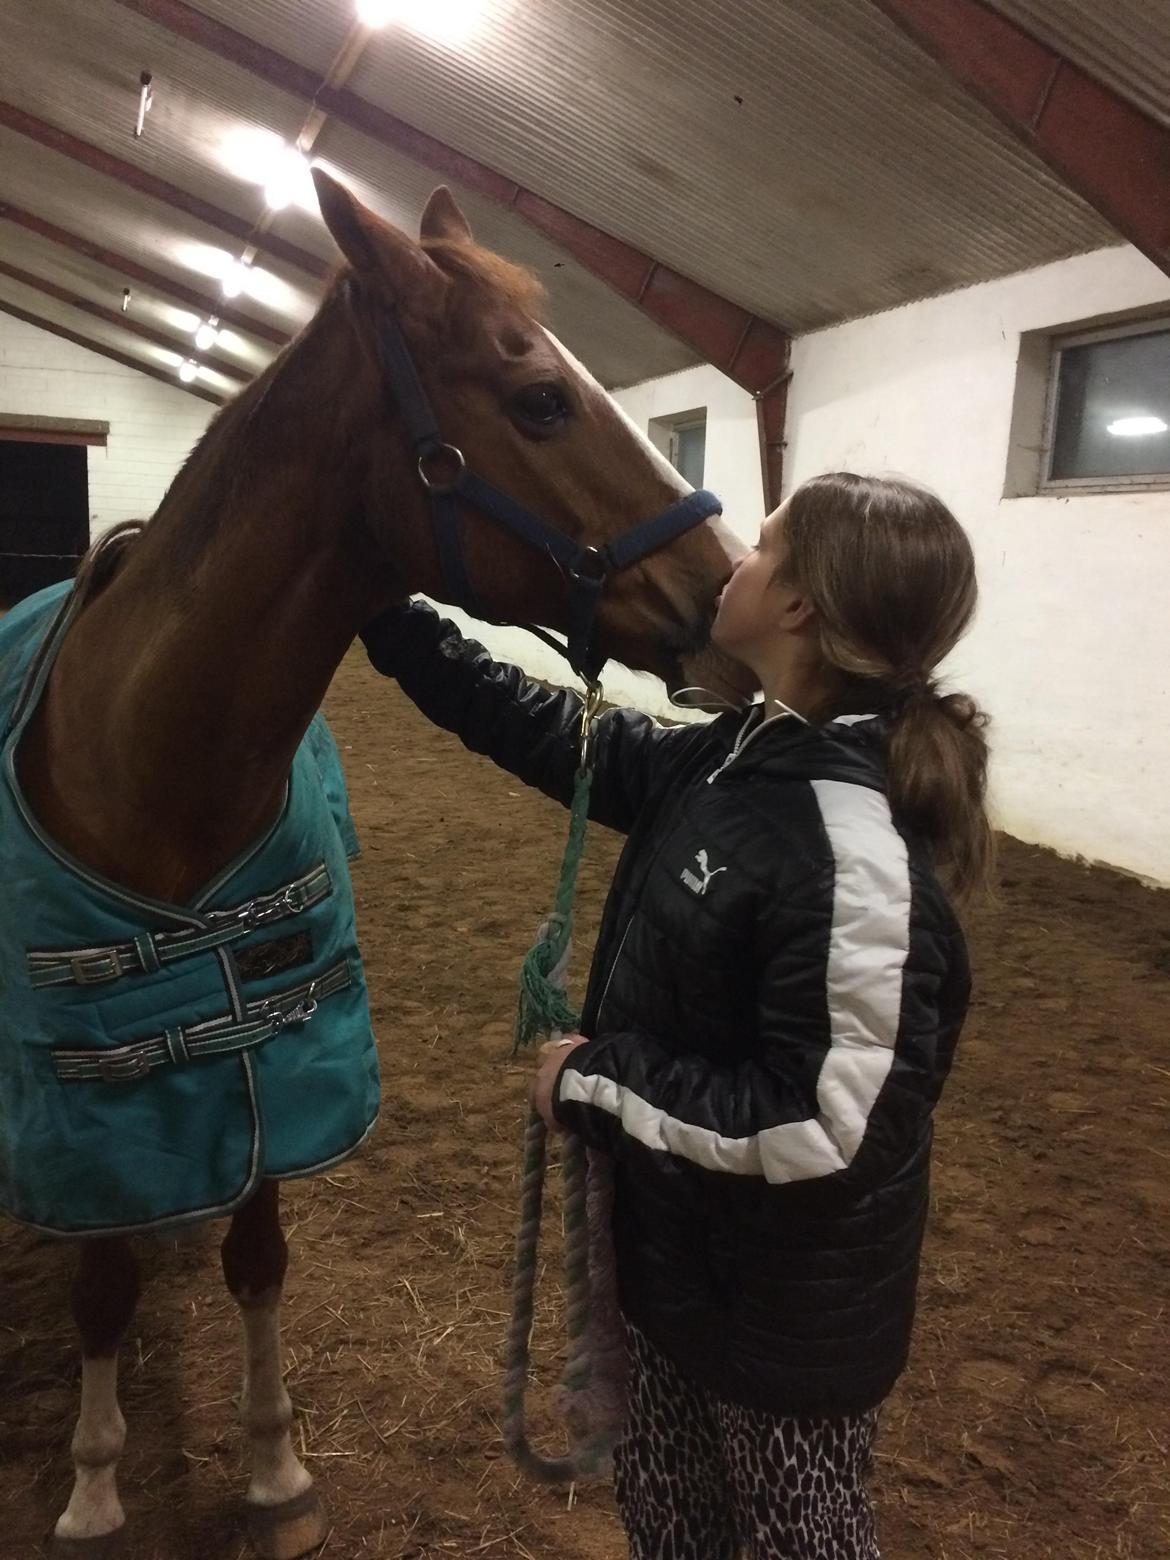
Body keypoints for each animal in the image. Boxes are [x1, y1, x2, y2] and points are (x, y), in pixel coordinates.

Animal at [13, 173, 745, 1560]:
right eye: (541, 398)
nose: (727, 598)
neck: (153, 763)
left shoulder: (268, 1047)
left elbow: (256, 1255)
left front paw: (273, 1471)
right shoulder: (88, 1102)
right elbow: (101, 1280)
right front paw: (93, 1486)